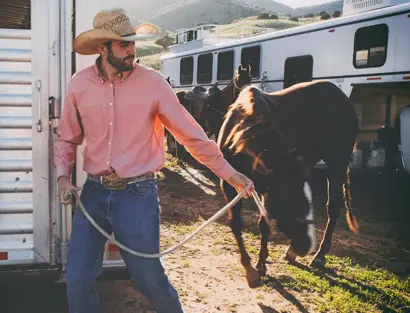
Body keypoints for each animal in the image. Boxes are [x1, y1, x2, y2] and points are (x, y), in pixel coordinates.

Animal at [218, 79, 358, 286]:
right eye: (291, 202)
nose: (305, 246)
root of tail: (344, 99)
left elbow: (264, 223)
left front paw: (260, 264)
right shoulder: (232, 185)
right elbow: (236, 223)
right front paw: (250, 268)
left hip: (337, 164)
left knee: (333, 208)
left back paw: (318, 256)